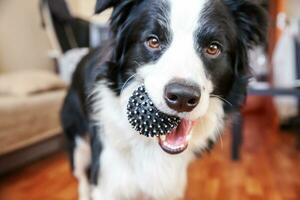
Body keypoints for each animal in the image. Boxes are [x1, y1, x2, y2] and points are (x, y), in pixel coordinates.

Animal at [61, 0, 268, 199]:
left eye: (213, 48)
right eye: (153, 41)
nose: (182, 97)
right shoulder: (109, 182)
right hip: (78, 145)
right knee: (82, 177)